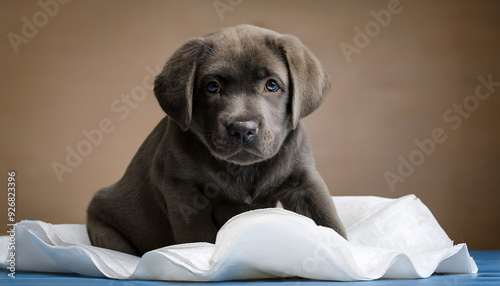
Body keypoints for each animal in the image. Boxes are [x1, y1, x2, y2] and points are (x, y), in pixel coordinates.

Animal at [87, 24, 344, 256]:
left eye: (272, 85)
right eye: (212, 87)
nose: (242, 128)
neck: (242, 169)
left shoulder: (304, 181)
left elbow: (329, 223)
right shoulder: (183, 191)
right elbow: (200, 238)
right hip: (104, 228)